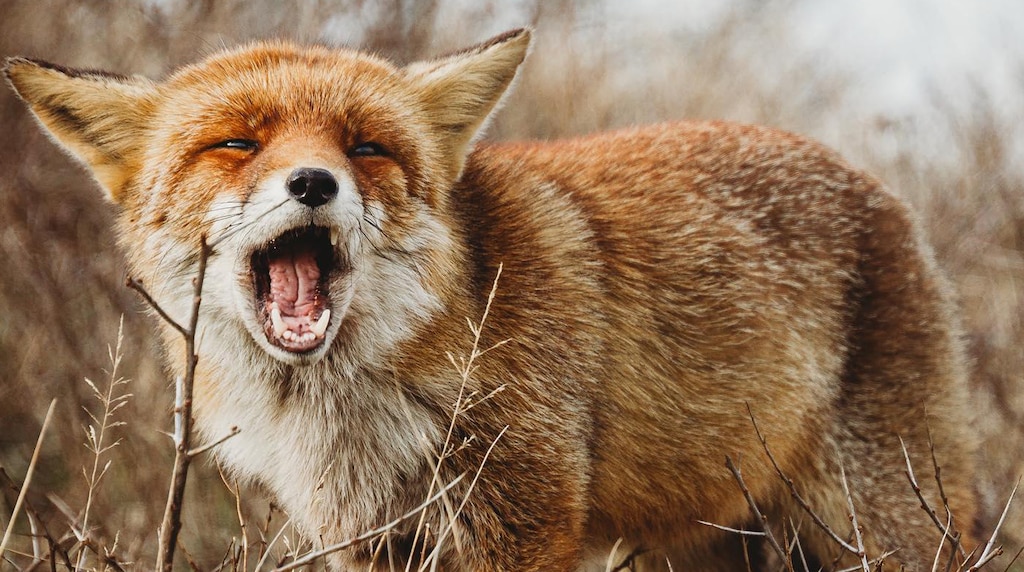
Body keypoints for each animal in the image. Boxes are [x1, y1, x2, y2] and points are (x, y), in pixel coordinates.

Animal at [5, 28, 979, 571]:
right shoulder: (369, 538)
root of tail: (879, 190)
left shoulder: (522, 519)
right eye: (238, 143)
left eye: (365, 147)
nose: (313, 182)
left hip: (876, 525)